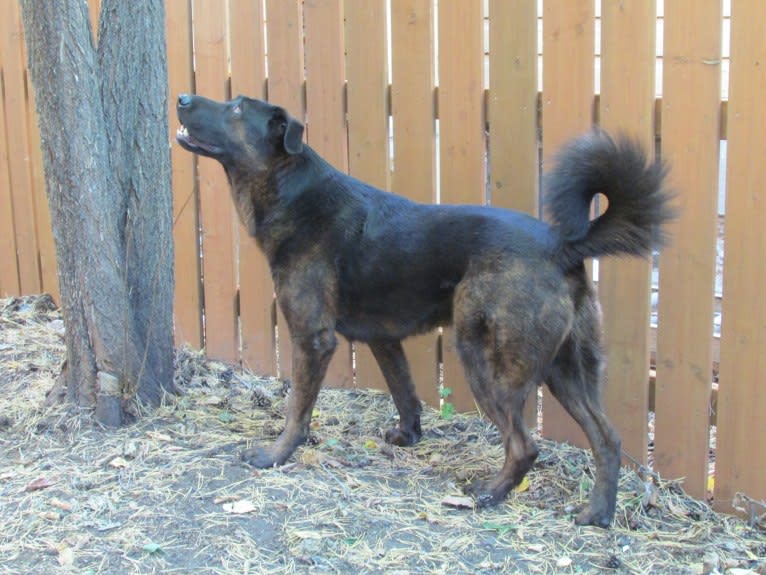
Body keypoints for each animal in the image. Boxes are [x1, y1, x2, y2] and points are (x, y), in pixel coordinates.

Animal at [177, 93, 676, 528]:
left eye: (237, 108)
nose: (182, 98)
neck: (293, 191)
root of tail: (563, 248)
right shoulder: (383, 339)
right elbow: (405, 391)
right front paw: (409, 437)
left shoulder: (312, 337)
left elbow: (297, 407)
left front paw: (275, 456)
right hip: (566, 370)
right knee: (607, 438)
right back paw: (598, 514)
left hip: (485, 358)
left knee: (524, 445)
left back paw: (490, 493)